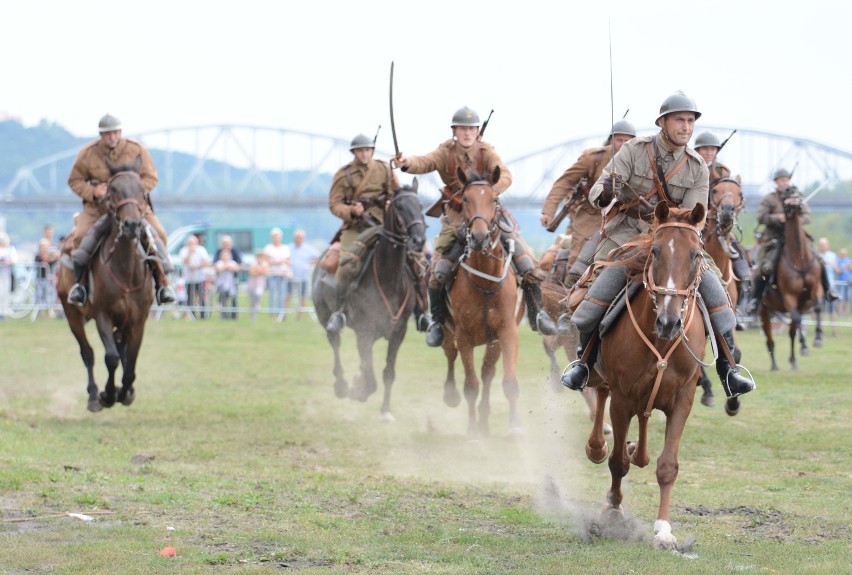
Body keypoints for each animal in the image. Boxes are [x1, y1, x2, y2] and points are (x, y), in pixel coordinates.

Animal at [56, 155, 155, 412]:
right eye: (113, 189)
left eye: (142, 190)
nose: (132, 225)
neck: (126, 270)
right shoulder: (103, 315)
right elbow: (111, 358)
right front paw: (108, 395)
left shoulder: (137, 320)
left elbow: (130, 362)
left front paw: (126, 392)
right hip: (72, 314)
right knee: (87, 353)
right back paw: (93, 396)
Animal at [312, 178, 426, 420]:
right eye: (399, 206)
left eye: (421, 205)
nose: (419, 240)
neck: (388, 278)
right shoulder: (364, 331)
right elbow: (371, 378)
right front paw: (358, 391)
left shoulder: (398, 332)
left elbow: (388, 373)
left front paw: (385, 411)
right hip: (326, 317)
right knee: (335, 344)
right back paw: (342, 386)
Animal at [442, 169, 524, 438]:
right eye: (466, 199)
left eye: (494, 199)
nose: (479, 237)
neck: (485, 283)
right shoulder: (464, 336)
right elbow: (471, 384)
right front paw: (473, 433)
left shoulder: (507, 334)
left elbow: (508, 382)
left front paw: (515, 427)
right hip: (448, 332)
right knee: (451, 355)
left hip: (493, 343)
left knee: (488, 372)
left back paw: (486, 421)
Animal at [584, 204, 708, 552]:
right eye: (654, 251)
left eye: (696, 254)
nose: (669, 321)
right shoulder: (622, 399)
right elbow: (616, 463)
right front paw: (613, 511)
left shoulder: (683, 400)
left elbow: (667, 467)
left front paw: (664, 531)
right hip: (605, 381)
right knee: (601, 400)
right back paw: (598, 447)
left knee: (643, 422)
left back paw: (637, 451)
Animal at [760, 190, 824, 368]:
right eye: (785, 195)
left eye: (796, 190)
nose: (793, 198)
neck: (799, 259)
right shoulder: (789, 297)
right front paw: (805, 347)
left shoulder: (816, 288)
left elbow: (817, 308)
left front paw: (818, 338)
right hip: (764, 311)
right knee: (769, 338)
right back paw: (774, 365)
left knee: (791, 332)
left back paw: (793, 361)